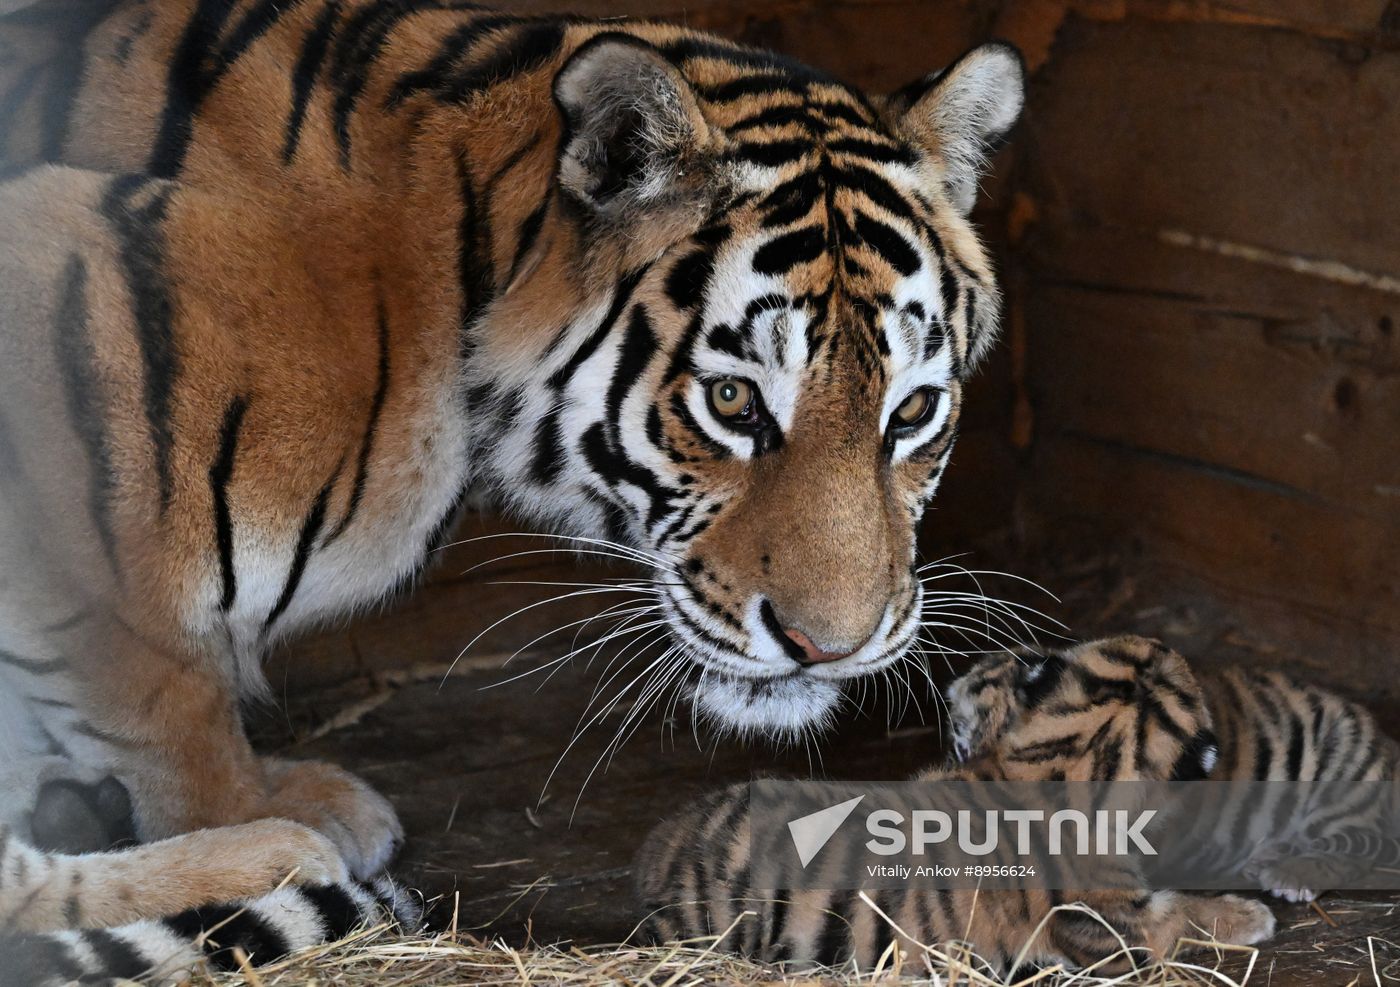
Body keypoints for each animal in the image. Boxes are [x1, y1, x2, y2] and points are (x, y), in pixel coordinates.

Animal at [0, 0, 1028, 977]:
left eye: (913, 409)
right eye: (733, 400)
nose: (828, 650)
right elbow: (174, 711)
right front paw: (242, 812)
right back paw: (269, 853)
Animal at [633, 636, 1275, 974]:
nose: (1166, 645)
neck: (1065, 764)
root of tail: (658, 854)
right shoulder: (1114, 926)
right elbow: (1183, 916)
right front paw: (1251, 915)